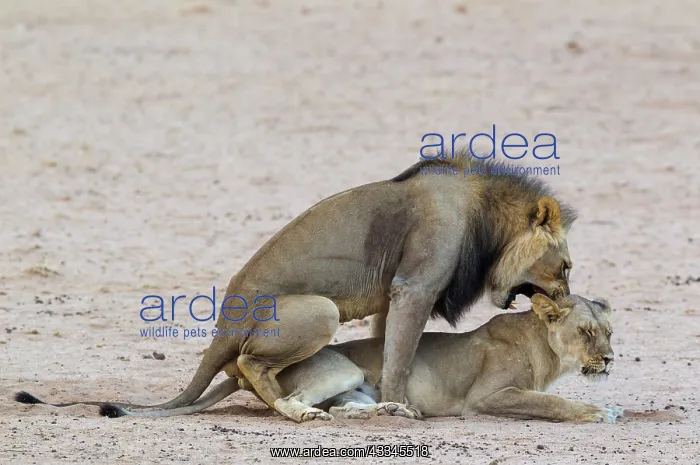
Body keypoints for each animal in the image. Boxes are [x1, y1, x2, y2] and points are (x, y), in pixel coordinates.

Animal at [14, 148, 578, 422]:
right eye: (566, 268)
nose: (569, 302)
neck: (486, 217)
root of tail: (222, 328)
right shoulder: (415, 285)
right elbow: (399, 356)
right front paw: (401, 407)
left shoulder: (395, 294)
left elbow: (391, 347)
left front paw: (389, 399)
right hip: (321, 310)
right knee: (250, 364)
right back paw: (297, 411)